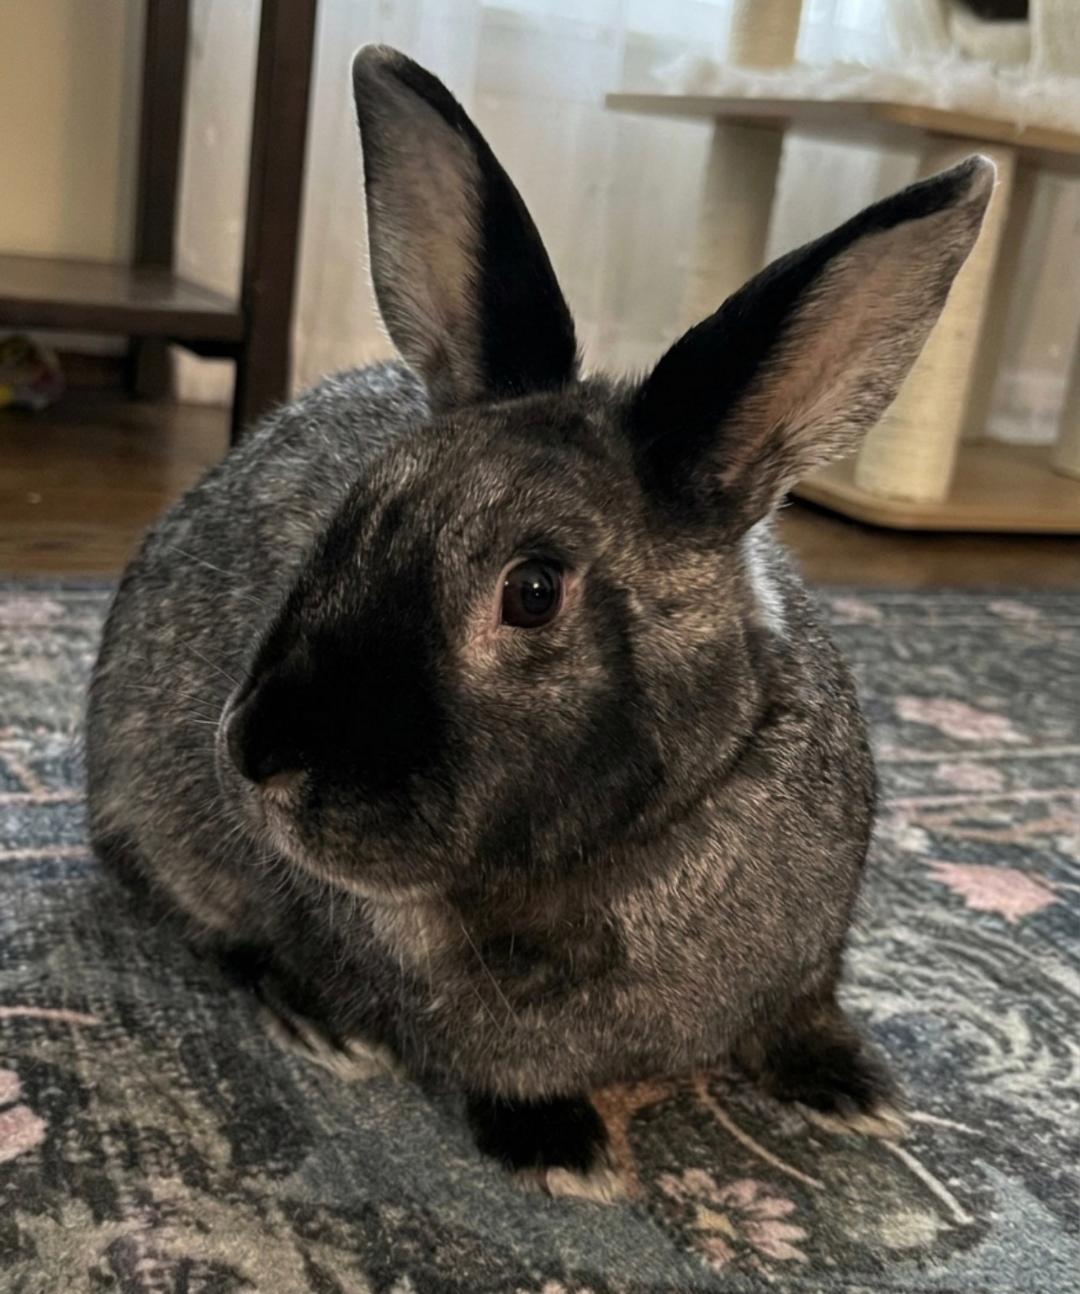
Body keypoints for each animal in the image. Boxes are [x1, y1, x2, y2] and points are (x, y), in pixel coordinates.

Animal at [86, 44, 992, 1201]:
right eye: (345, 521)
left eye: (532, 591)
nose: (254, 753)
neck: (629, 845)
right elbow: (503, 1070)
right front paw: (565, 1154)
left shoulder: (810, 962)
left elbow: (803, 1017)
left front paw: (854, 1092)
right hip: (161, 832)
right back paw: (325, 1026)